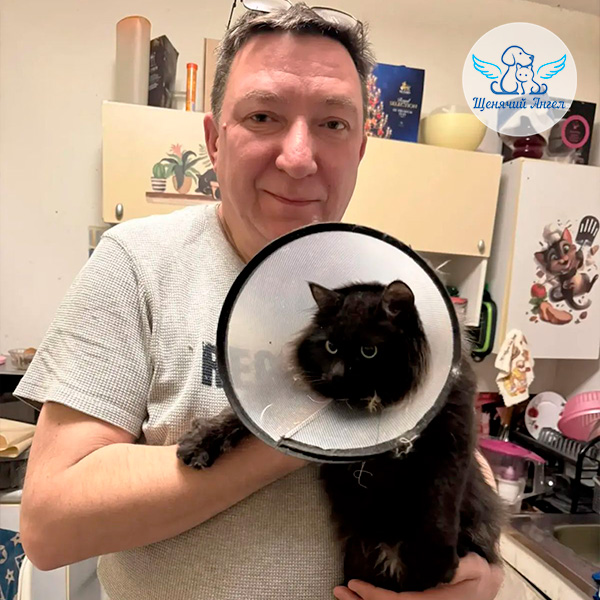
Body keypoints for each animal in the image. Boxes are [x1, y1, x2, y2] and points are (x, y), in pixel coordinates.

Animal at [177, 280, 503, 592]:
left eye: (369, 351)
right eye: (331, 347)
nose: (334, 376)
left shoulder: (453, 435)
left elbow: (441, 500)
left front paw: (434, 566)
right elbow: (235, 417)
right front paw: (199, 442)